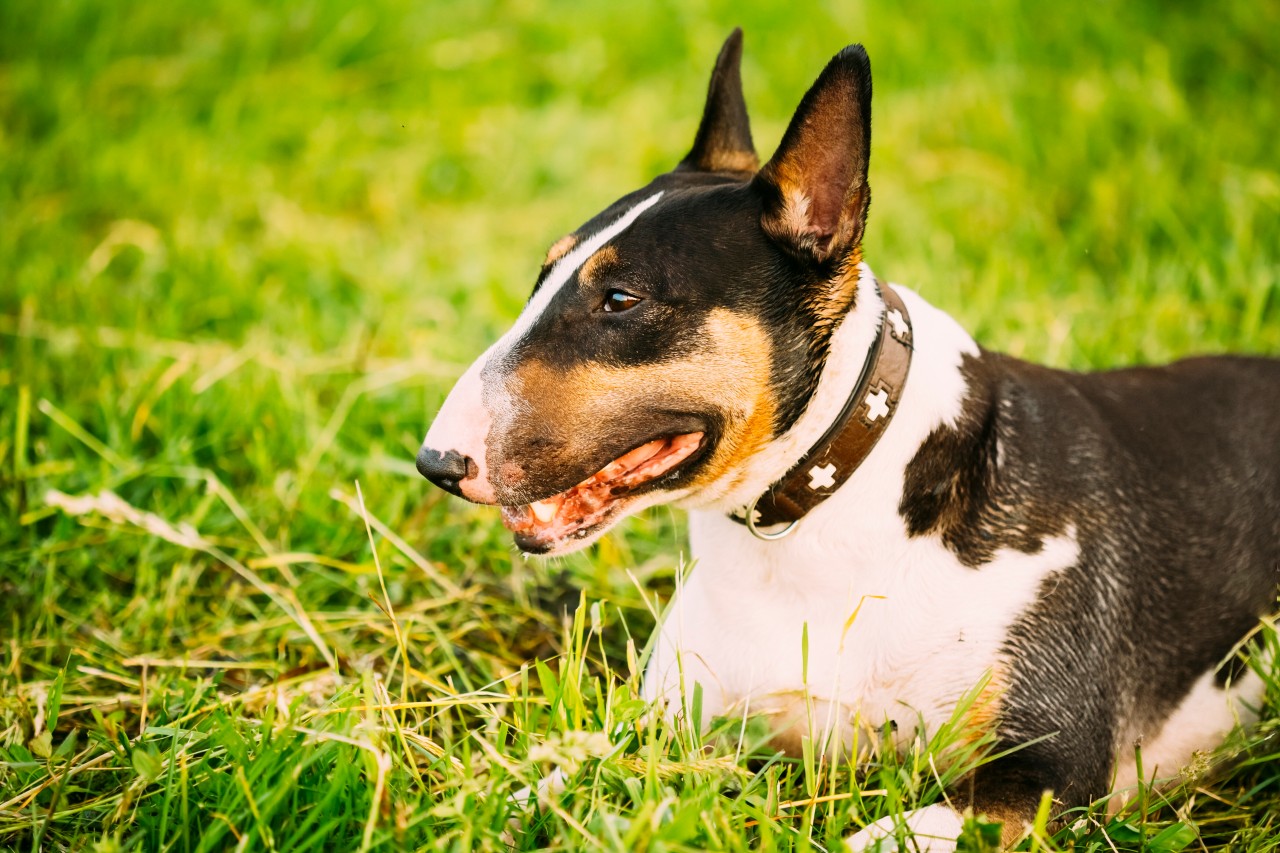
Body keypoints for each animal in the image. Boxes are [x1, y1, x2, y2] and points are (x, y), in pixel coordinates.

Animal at [414, 29, 1274, 845]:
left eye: (620, 299)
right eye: (541, 278)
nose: (436, 463)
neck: (810, 523)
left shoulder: (1040, 776)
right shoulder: (668, 730)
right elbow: (537, 789)